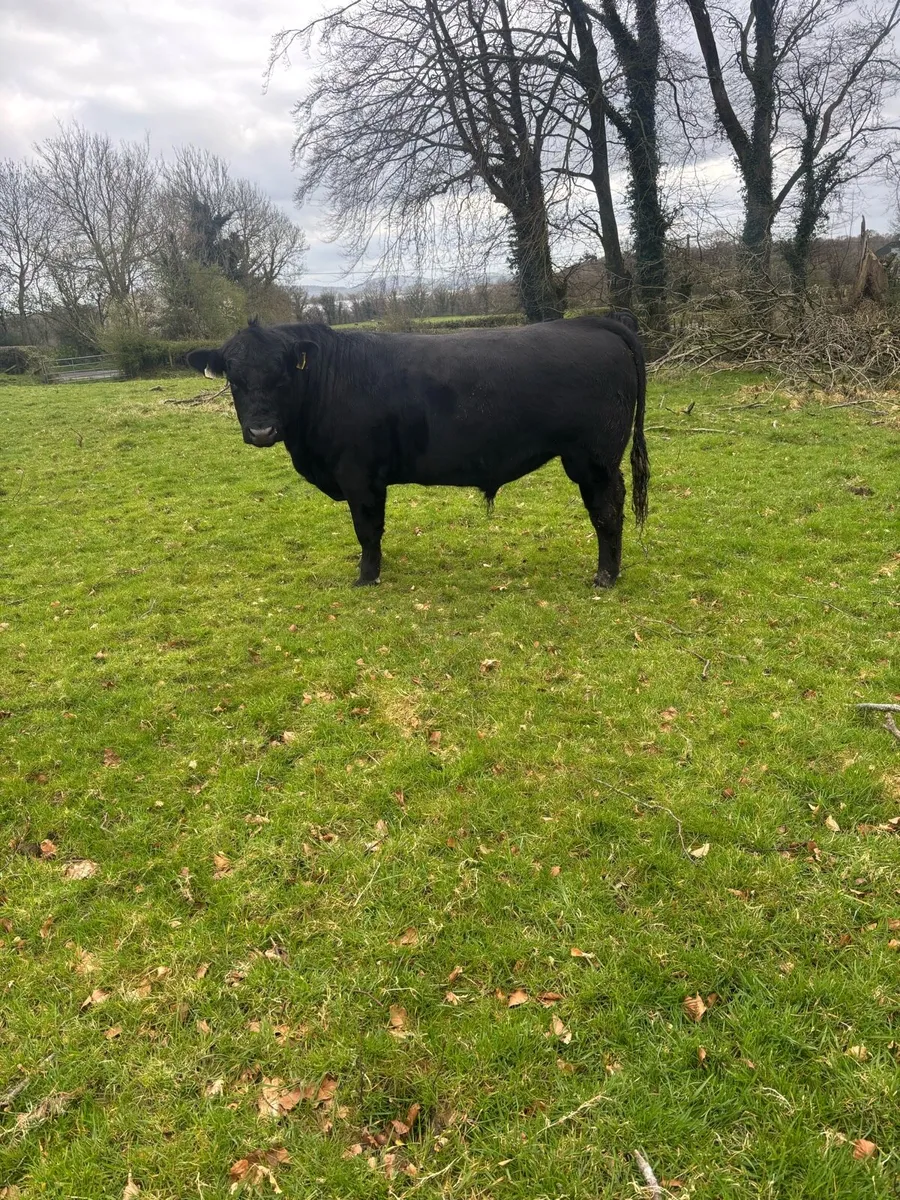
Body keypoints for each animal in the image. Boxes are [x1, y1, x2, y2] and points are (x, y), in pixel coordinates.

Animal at [186, 315, 649, 588]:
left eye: (282, 375)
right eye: (234, 379)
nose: (261, 430)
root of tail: (591, 323)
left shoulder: (358, 474)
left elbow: (367, 529)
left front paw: (367, 578)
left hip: (593, 458)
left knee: (607, 510)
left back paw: (605, 577)